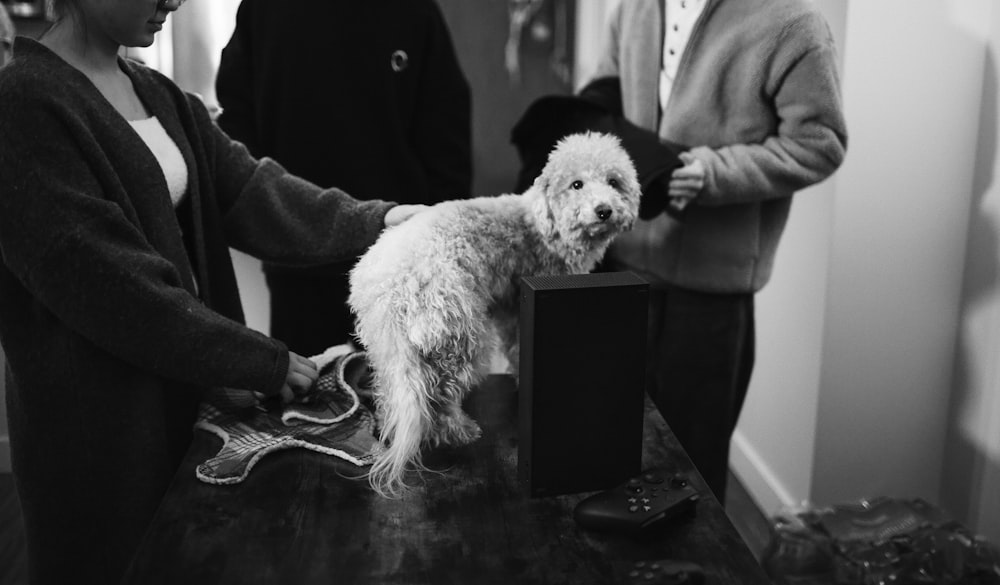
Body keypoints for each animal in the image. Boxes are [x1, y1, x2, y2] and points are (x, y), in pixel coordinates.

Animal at [348, 130, 636, 496]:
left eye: (614, 181)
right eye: (576, 184)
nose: (604, 210)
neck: (542, 227)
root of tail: (394, 288)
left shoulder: (512, 308)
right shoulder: (524, 303)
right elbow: (519, 349)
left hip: (390, 349)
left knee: (393, 393)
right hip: (461, 338)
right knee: (440, 396)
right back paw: (459, 430)